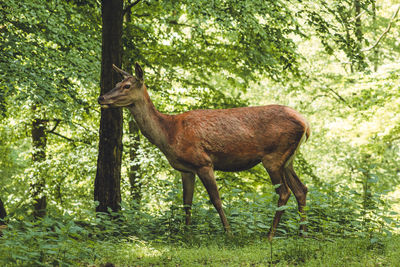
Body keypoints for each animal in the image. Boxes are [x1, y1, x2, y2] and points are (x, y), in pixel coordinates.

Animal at [98, 63, 310, 241]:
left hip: (273, 157)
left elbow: (216, 199)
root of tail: (306, 124)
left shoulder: (203, 162)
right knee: (301, 189)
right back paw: (302, 233)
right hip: (287, 159)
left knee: (285, 192)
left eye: (127, 86)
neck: (168, 134)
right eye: (116, 83)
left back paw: (270, 235)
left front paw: (229, 233)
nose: (102, 98)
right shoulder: (185, 169)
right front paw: (186, 234)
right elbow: (187, 202)